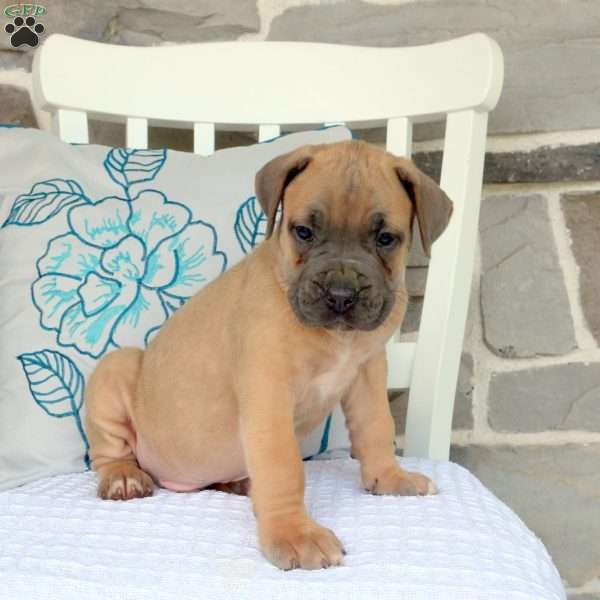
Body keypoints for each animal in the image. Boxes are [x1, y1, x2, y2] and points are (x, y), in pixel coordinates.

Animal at [84, 138, 450, 568]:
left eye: (386, 239)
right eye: (304, 232)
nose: (341, 295)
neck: (335, 338)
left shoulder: (366, 373)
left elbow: (377, 426)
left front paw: (390, 477)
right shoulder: (269, 393)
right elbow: (283, 466)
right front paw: (293, 532)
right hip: (117, 369)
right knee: (109, 451)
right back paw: (123, 477)